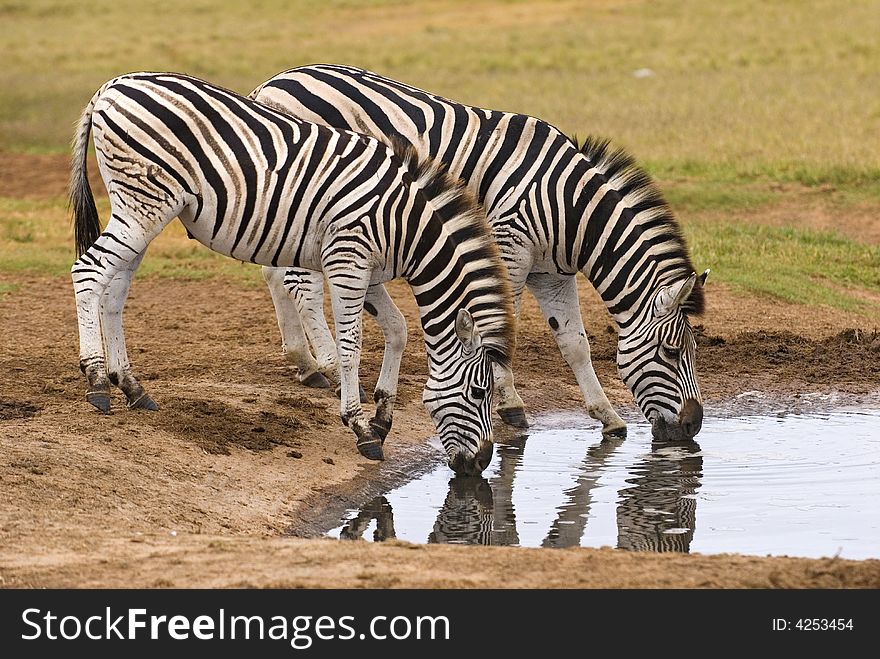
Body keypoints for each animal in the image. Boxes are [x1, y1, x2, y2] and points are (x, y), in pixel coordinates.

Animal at [70, 71, 516, 474]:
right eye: (480, 391)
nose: (482, 463)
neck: (405, 224)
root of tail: (111, 86)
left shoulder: (369, 271)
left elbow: (398, 329)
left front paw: (382, 417)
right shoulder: (347, 259)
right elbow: (351, 347)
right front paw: (361, 427)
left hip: (142, 210)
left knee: (114, 290)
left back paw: (131, 386)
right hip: (144, 204)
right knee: (88, 271)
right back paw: (97, 381)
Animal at [251, 64, 712, 444]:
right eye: (673, 352)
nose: (693, 426)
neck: (572, 211)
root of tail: (271, 83)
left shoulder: (552, 274)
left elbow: (575, 343)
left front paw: (608, 417)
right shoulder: (512, 250)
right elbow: (505, 328)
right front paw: (511, 406)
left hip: (288, 211)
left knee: (277, 275)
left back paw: (305, 362)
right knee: (302, 285)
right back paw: (329, 364)